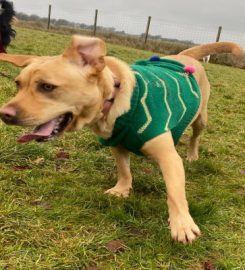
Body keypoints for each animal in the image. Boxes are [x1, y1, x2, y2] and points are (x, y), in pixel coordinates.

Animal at [0, 37, 242, 244]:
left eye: (47, 87)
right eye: (18, 84)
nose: (4, 114)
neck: (112, 99)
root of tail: (184, 56)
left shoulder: (169, 158)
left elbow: (175, 192)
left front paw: (181, 223)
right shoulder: (117, 143)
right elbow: (124, 170)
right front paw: (122, 189)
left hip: (201, 119)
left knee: (195, 137)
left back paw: (192, 155)